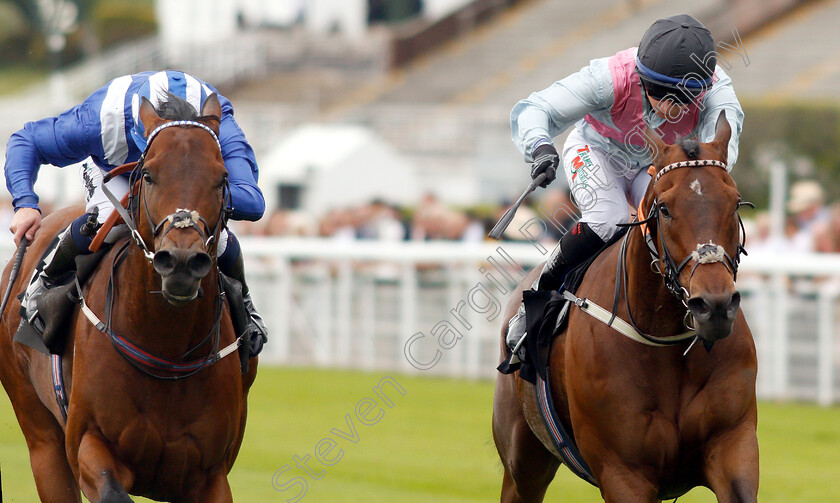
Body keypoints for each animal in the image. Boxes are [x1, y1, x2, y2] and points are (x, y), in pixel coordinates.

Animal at [0, 92, 258, 502]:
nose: (181, 262)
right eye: (149, 174)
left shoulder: (211, 475)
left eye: (222, 179)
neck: (166, 348)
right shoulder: (89, 445)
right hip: (41, 437)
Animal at [492, 112, 760, 502]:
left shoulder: (733, 444)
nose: (715, 306)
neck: (666, 341)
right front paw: (544, 161)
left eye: (735, 202)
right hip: (523, 462)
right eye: (664, 208)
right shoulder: (623, 471)